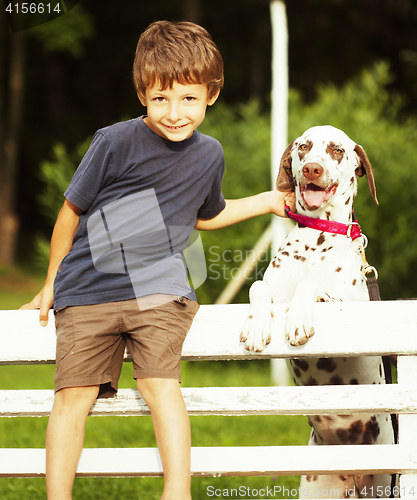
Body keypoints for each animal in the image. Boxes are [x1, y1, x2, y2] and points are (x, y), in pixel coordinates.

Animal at [239, 126, 394, 500]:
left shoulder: (349, 305)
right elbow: (258, 288)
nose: (312, 168)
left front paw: (297, 321)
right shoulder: (270, 287)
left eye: (337, 150)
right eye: (304, 147)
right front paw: (256, 328)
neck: (317, 238)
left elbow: (310, 286)